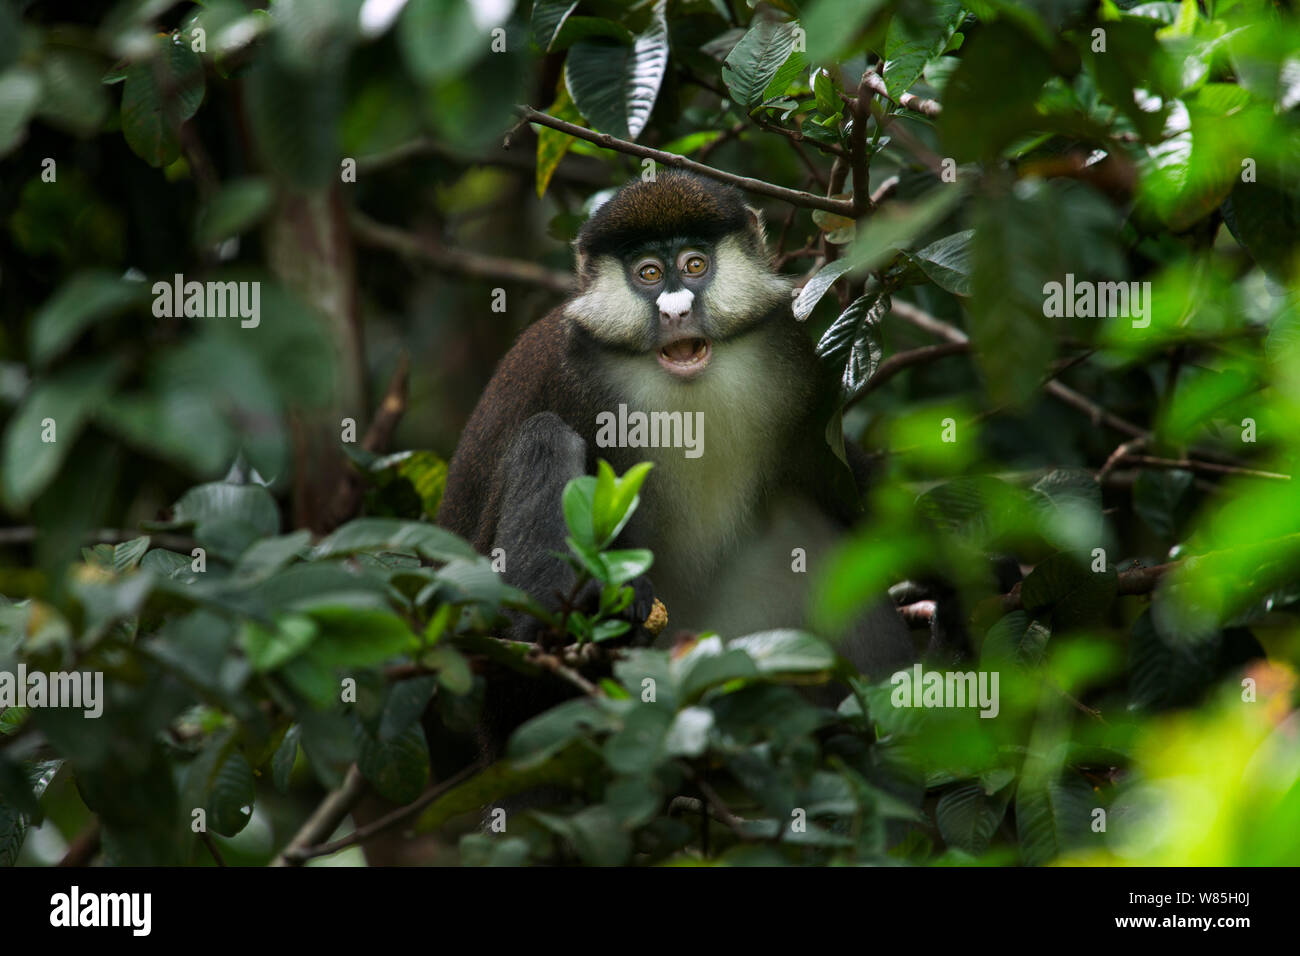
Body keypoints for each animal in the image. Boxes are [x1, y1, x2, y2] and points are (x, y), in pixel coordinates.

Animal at [436, 170, 916, 766]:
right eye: (648, 273)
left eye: (693, 265)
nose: (675, 310)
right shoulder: (567, 373)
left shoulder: (794, 361)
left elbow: (838, 481)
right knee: (545, 438)